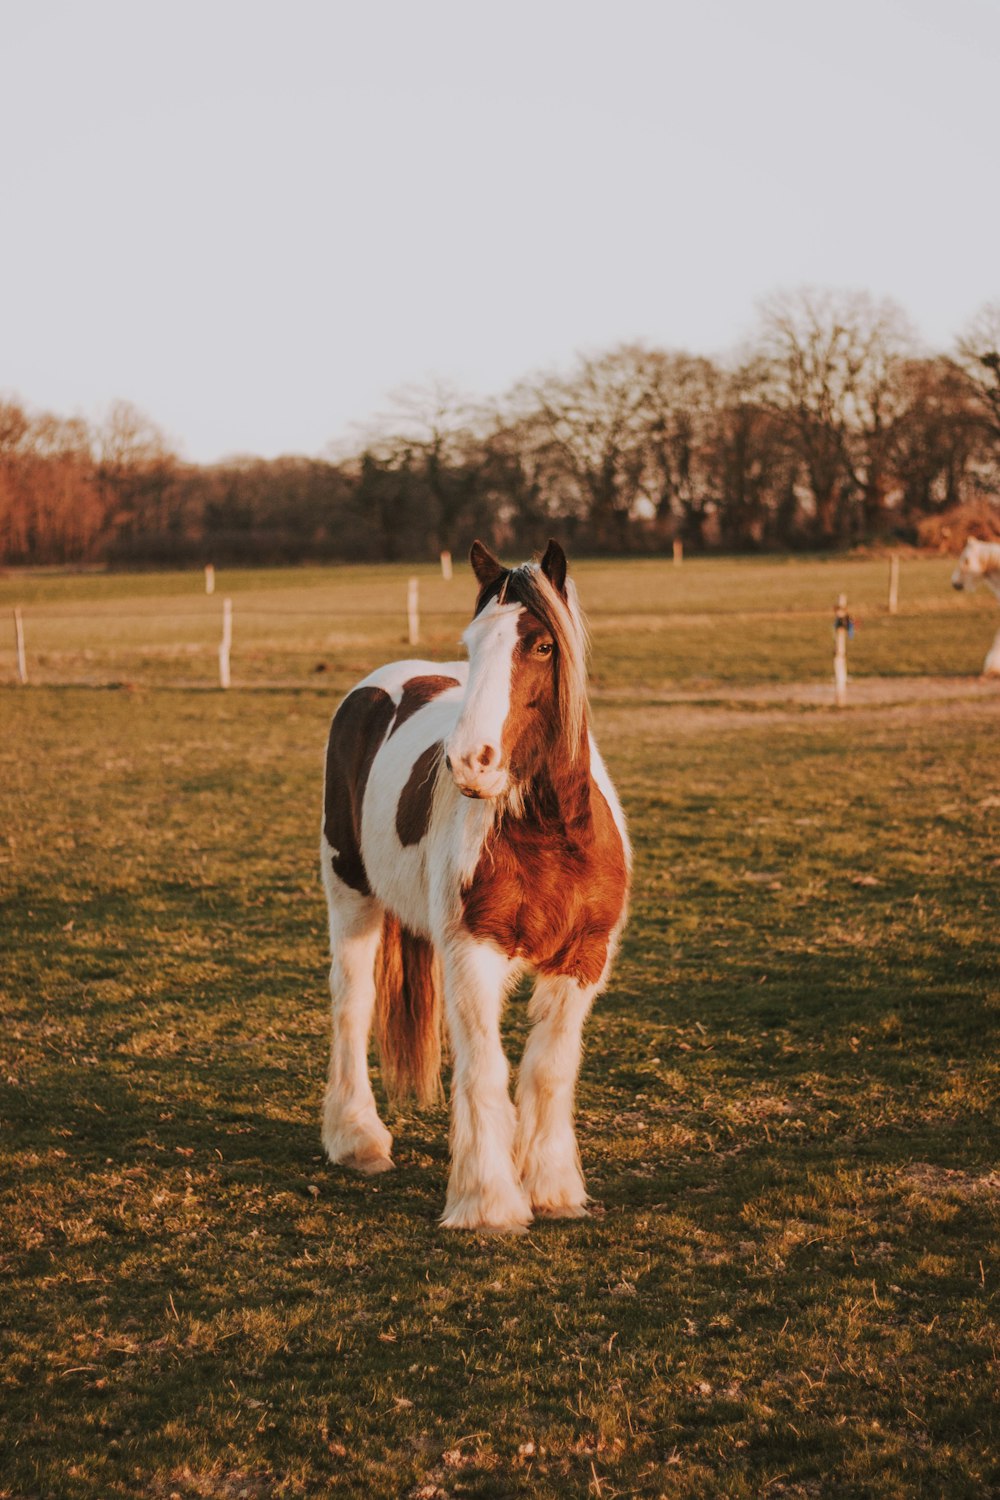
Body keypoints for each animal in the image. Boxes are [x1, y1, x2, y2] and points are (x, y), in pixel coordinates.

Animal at [320, 540, 629, 1230]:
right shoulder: (472, 951)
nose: (468, 762)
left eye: (541, 645)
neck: (550, 834)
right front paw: (488, 1202)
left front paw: (553, 1188)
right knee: (352, 1005)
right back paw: (357, 1139)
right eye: (472, 642)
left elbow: (548, 1069)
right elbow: (486, 1068)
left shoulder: (583, 960)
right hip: (350, 894)